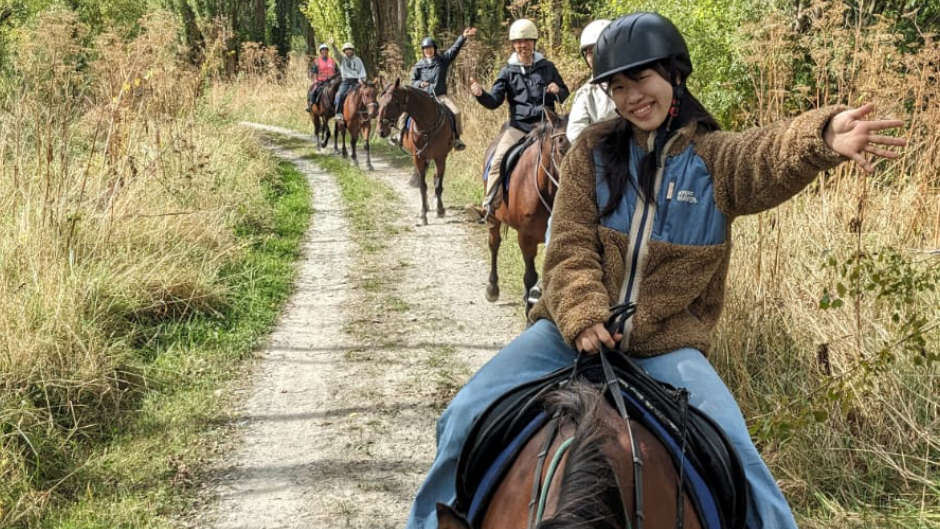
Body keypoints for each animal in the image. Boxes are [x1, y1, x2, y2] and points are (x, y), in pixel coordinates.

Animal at [378, 79, 458, 224]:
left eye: (393, 103)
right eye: (380, 102)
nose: (381, 131)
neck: (427, 126)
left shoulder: (440, 157)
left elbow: (438, 185)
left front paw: (440, 210)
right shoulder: (418, 157)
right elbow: (422, 186)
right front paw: (423, 214)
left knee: (435, 179)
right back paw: (426, 206)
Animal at [484, 111, 564, 310]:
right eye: (561, 144)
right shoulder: (525, 237)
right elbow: (530, 276)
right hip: (493, 218)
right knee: (494, 243)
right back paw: (492, 288)